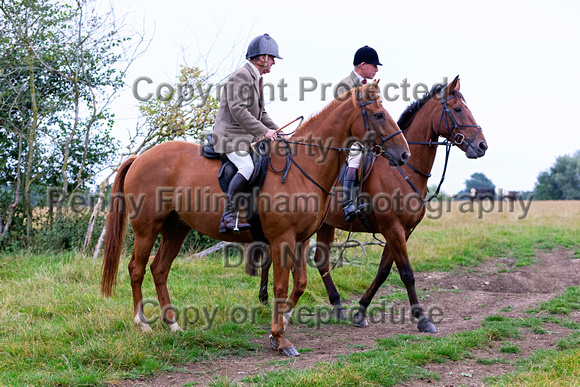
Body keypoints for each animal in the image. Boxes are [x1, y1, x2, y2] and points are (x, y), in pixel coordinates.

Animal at [99, 81, 408, 358]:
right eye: (379, 115)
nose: (404, 154)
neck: (302, 166)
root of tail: (140, 157)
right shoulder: (282, 239)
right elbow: (280, 286)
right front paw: (280, 338)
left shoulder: (300, 240)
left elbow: (300, 284)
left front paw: (281, 327)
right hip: (146, 229)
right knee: (136, 269)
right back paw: (142, 323)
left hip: (177, 228)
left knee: (159, 269)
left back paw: (173, 324)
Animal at [256, 76, 488, 334]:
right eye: (457, 109)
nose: (481, 146)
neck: (403, 170)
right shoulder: (393, 228)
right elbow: (406, 273)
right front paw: (422, 318)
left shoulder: (403, 230)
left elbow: (384, 271)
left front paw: (361, 310)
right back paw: (265, 297)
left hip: (325, 225)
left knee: (321, 261)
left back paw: (336, 305)